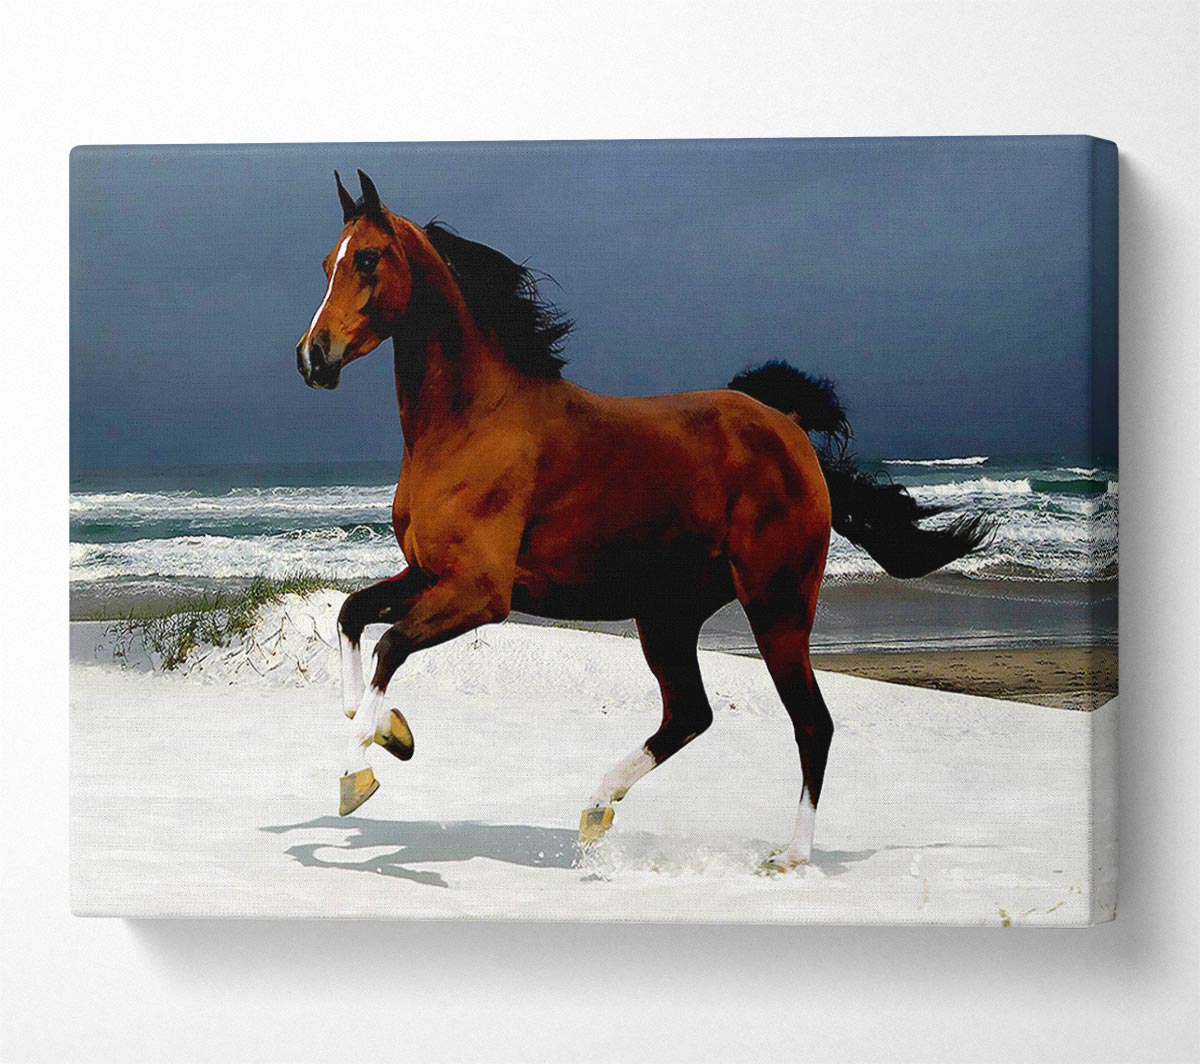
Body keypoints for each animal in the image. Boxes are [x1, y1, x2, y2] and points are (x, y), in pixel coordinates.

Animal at [295, 170, 989, 871]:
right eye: (327, 264)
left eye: (367, 259)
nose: (313, 358)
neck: (470, 422)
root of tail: (788, 429)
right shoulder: (427, 573)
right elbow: (352, 615)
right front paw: (388, 731)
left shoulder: (481, 593)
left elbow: (389, 643)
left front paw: (359, 772)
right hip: (668, 615)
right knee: (691, 714)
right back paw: (597, 808)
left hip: (777, 605)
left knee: (810, 722)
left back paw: (789, 858)